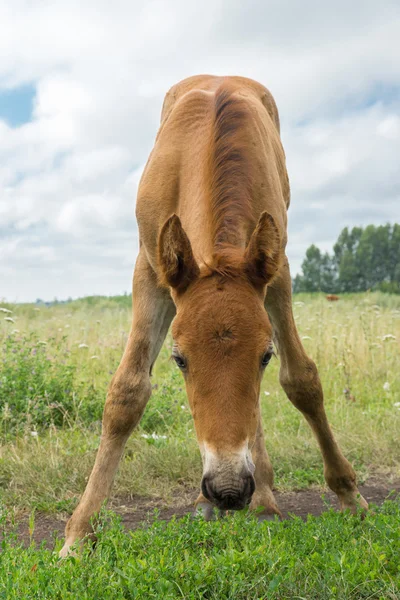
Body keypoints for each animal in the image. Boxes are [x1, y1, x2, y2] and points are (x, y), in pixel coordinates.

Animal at [60, 75, 368, 556]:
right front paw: (78, 533)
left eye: (264, 356)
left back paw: (264, 497)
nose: (228, 490)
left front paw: (349, 495)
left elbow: (302, 380)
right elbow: (127, 393)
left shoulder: (277, 269)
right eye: (179, 359)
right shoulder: (149, 269)